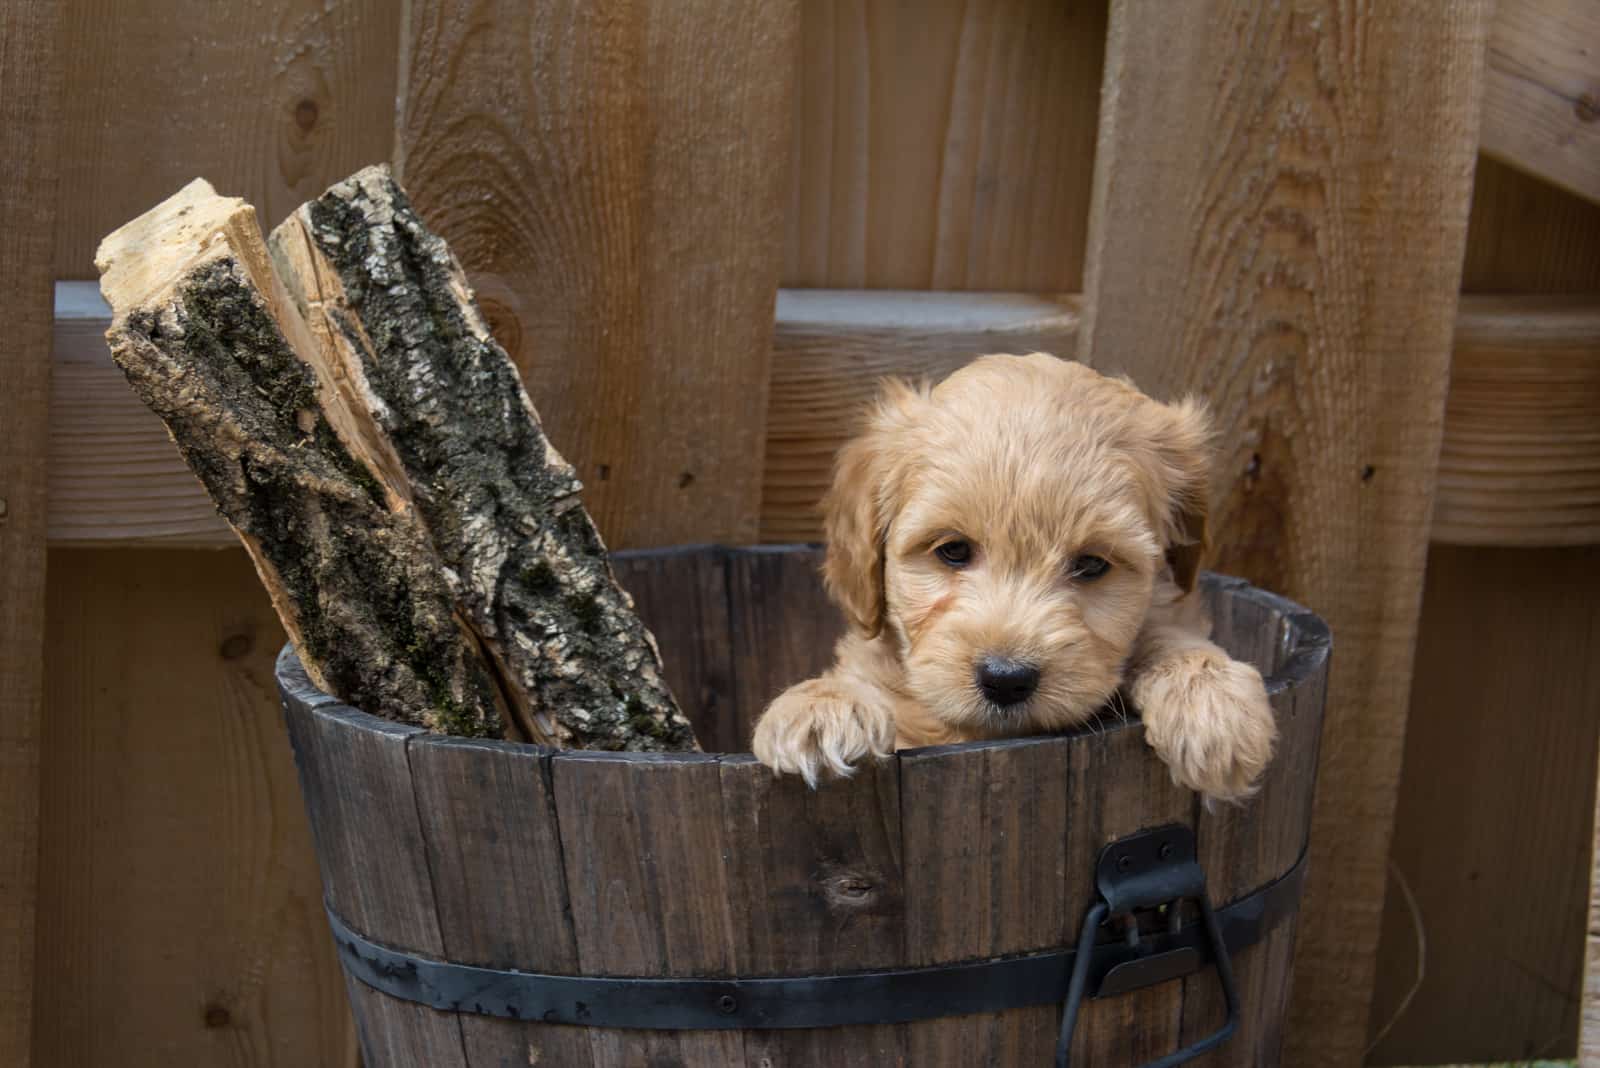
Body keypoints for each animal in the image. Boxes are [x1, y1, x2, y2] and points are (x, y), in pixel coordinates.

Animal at [748, 351, 1273, 799]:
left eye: (1092, 564)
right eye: (953, 550)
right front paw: (822, 707)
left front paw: (1211, 702)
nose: (1005, 679)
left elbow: (1166, 628)